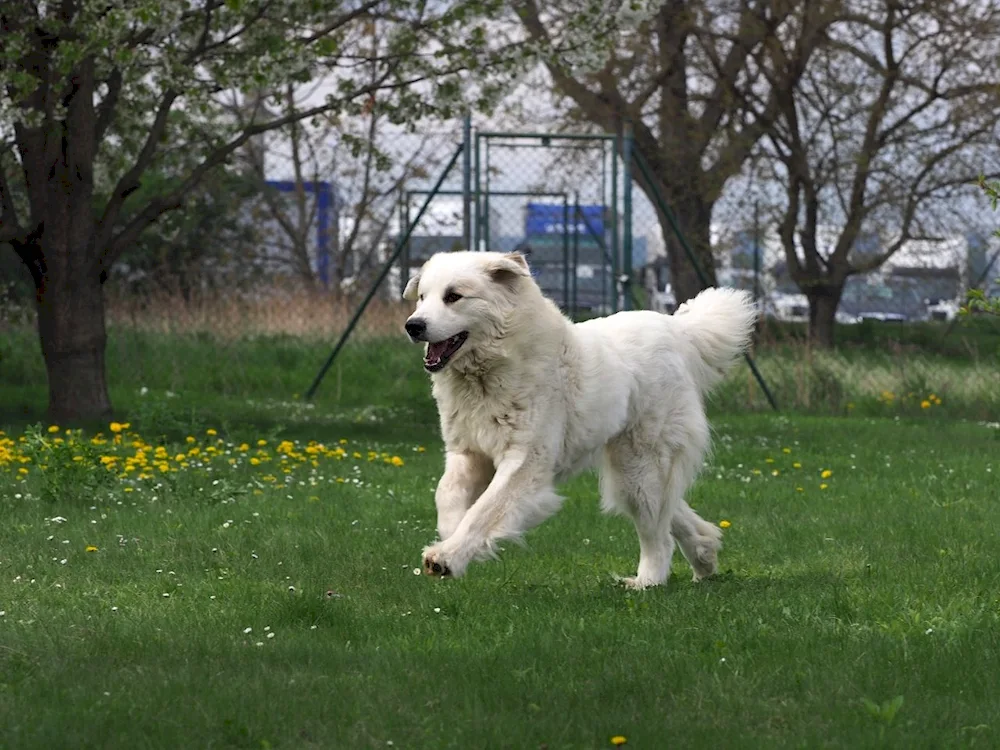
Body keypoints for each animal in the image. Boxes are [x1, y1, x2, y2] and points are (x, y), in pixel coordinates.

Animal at [402, 250, 752, 592]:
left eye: (454, 296)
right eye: (422, 297)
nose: (412, 326)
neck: (492, 368)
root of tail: (678, 331)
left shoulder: (524, 463)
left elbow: (483, 511)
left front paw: (447, 556)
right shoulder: (469, 454)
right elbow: (447, 496)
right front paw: (451, 538)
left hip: (640, 467)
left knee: (658, 534)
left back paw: (647, 581)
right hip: (631, 474)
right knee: (673, 510)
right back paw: (704, 555)